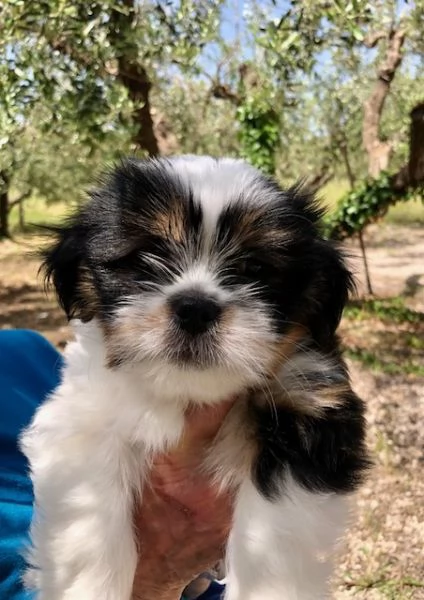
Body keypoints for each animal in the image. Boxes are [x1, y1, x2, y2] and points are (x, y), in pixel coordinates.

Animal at [21, 157, 370, 596]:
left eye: (253, 267)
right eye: (146, 255)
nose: (195, 308)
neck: (186, 393)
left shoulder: (308, 406)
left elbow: (273, 540)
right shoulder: (80, 420)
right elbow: (89, 519)